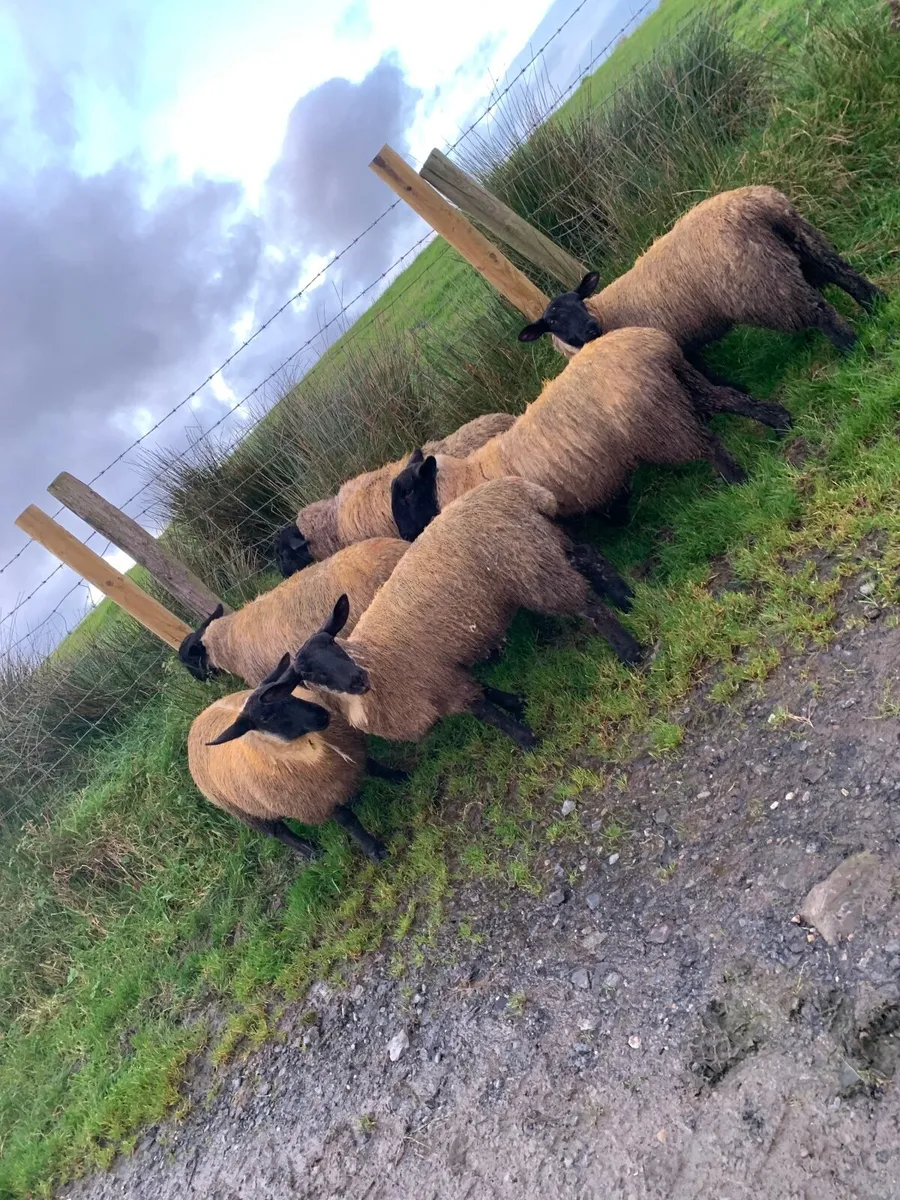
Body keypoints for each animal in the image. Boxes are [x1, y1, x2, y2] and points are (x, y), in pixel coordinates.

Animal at [188, 655, 407, 861]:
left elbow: (375, 767)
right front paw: (375, 850)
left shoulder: (353, 752)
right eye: (266, 718)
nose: (321, 715)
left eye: (289, 694)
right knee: (278, 832)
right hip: (247, 813)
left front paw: (400, 777)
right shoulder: (317, 802)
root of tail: (197, 722)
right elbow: (349, 821)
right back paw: (311, 851)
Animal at [290, 476, 646, 754]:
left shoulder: (440, 682)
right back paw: (627, 600)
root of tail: (521, 490)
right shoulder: (441, 674)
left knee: (587, 605)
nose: (357, 680)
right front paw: (517, 703)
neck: (374, 660)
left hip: (529, 566)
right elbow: (484, 690)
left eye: (334, 644)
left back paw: (630, 651)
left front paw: (527, 741)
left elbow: (484, 711)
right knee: (589, 557)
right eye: (309, 673)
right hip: (542, 543)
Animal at [390, 327, 760, 547]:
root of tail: (652, 342)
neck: (465, 479)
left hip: (661, 424)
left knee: (708, 445)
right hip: (683, 388)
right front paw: (621, 520)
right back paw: (772, 422)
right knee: (734, 399)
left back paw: (737, 480)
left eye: (406, 494)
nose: (406, 535)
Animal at [517, 186, 886, 379]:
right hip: (805, 244)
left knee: (819, 310)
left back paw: (850, 346)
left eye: (579, 301)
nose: (590, 328)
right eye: (552, 322)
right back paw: (878, 306)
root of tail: (759, 207)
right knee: (844, 274)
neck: (606, 311)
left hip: (766, 285)